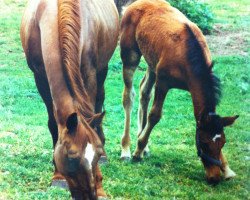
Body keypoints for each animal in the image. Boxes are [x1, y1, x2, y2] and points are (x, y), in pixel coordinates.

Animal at [20, 0, 119, 198]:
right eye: (72, 157)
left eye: (96, 153)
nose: (89, 196)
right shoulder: (40, 78)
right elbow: (53, 124)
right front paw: (58, 176)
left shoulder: (89, 74)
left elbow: (91, 116)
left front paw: (100, 187)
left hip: (102, 69)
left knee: (99, 103)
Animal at [119, 0, 238, 184]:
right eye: (203, 143)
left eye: (223, 143)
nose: (214, 178)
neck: (187, 55)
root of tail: (134, 4)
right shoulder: (163, 82)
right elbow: (155, 115)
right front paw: (137, 152)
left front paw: (227, 169)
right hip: (130, 55)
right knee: (128, 97)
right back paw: (126, 149)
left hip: (152, 63)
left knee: (144, 92)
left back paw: (144, 145)